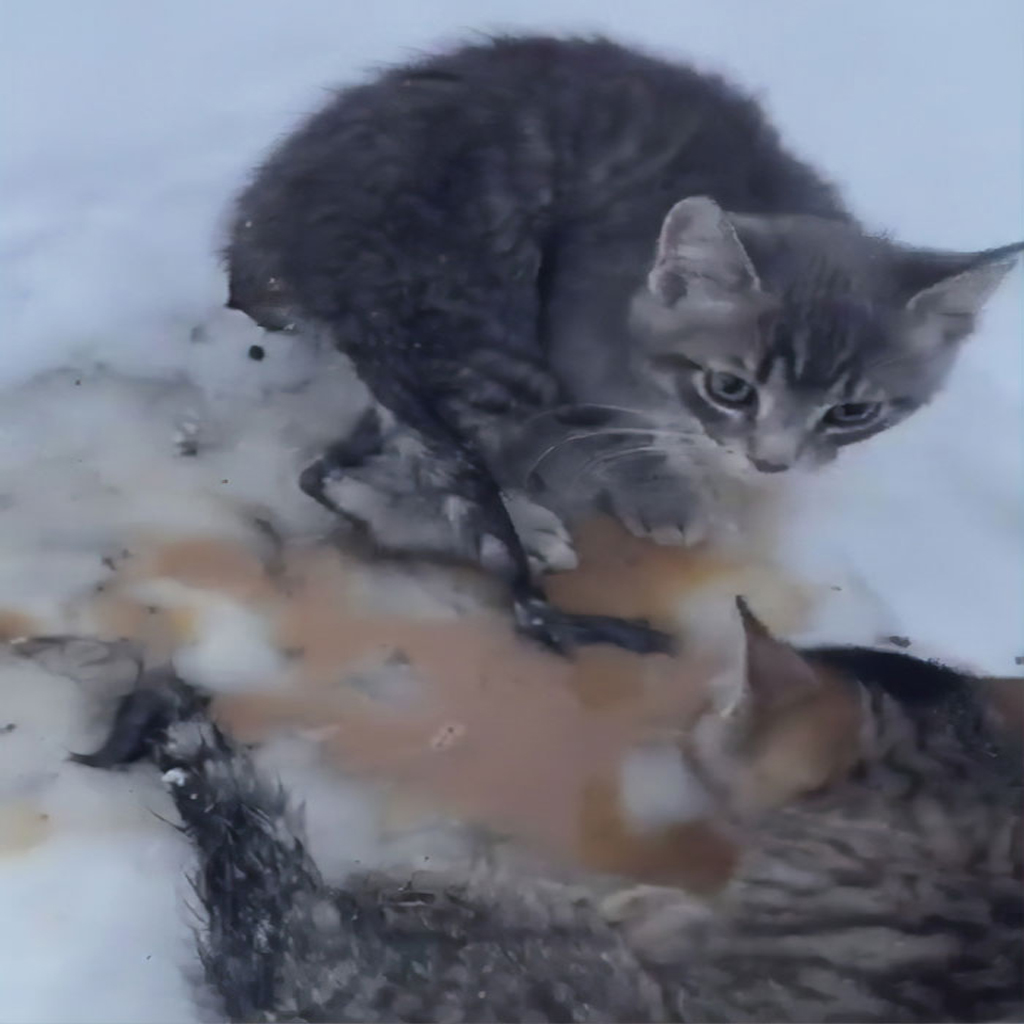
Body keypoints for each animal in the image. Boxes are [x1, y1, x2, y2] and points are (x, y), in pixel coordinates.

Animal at [226, 36, 1024, 651]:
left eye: (853, 412)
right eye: (730, 387)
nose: (770, 463)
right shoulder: (576, 329)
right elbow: (613, 425)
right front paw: (662, 492)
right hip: (485, 320)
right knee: (375, 461)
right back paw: (520, 520)